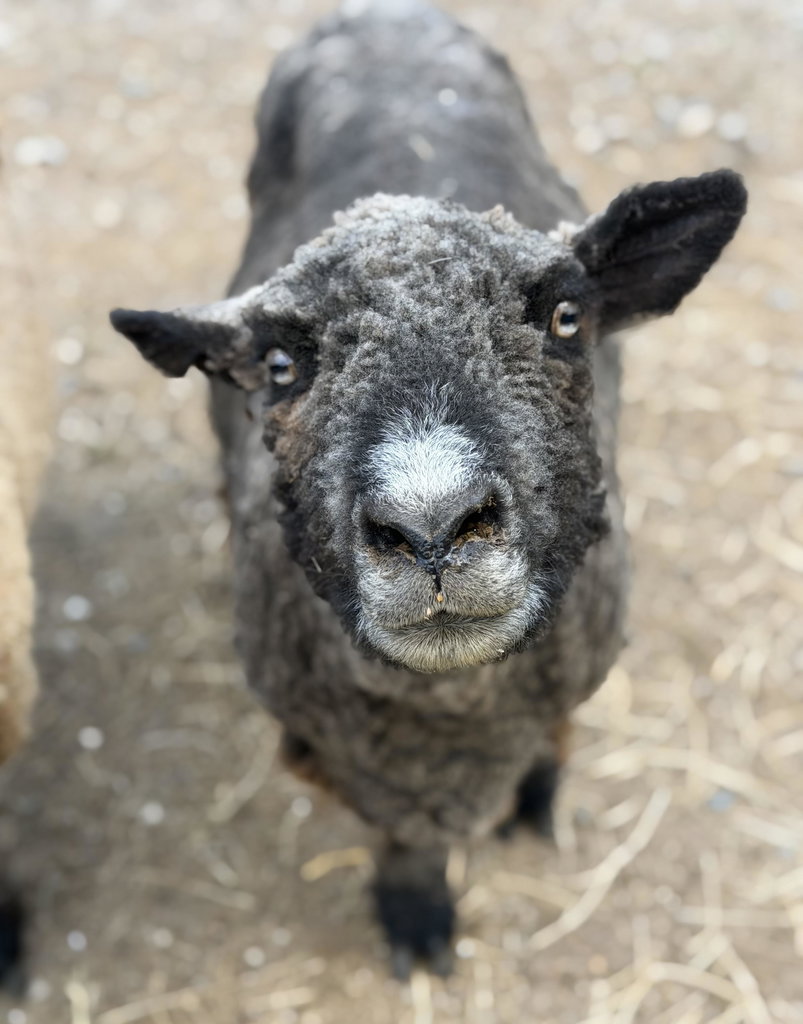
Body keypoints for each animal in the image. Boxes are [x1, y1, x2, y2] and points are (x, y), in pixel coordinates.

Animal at [111, 0, 747, 976]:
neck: (455, 708)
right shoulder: (337, 748)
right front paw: (414, 912)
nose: (432, 527)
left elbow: (547, 741)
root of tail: (383, 12)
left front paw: (535, 792)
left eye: (567, 317)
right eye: (280, 365)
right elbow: (400, 833)